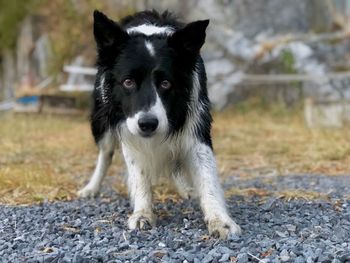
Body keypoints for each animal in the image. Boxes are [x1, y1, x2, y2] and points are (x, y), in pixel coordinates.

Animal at [78, 9, 241, 239]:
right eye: (128, 82)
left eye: (166, 83)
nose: (148, 124)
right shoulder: (128, 130)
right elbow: (139, 175)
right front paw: (142, 213)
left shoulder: (195, 129)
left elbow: (207, 176)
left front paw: (221, 220)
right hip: (103, 123)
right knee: (105, 154)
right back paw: (91, 188)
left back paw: (185, 189)